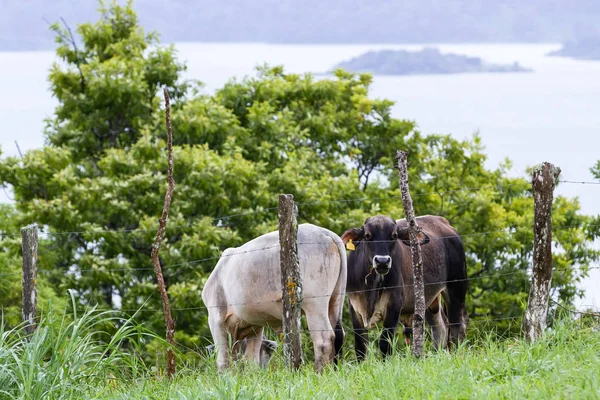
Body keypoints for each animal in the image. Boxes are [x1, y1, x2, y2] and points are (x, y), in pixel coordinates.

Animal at [203, 225, 346, 372]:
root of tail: (325, 233)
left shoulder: (216, 318)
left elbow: (223, 361)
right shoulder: (255, 327)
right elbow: (251, 361)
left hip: (314, 304)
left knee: (324, 340)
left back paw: (320, 372)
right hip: (335, 299)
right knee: (338, 335)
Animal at [342, 216, 468, 360]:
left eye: (394, 236)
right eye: (367, 235)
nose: (382, 261)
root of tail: (444, 222)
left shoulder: (394, 304)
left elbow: (385, 343)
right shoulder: (354, 306)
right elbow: (360, 346)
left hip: (456, 289)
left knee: (457, 327)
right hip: (427, 300)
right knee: (440, 327)